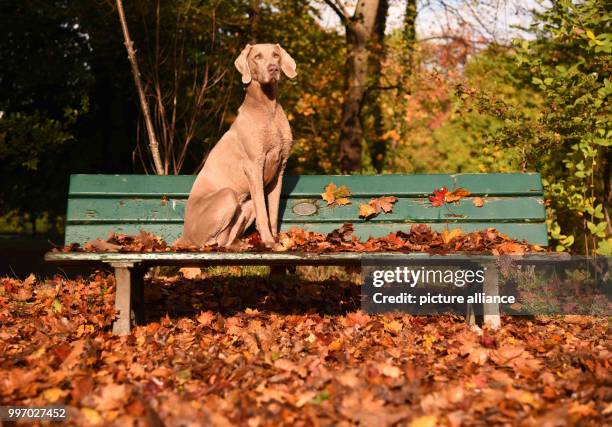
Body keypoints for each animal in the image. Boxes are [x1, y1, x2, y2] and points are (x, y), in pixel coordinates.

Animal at [180, 43, 298, 247]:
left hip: (245, 202)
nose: (273, 69)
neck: (268, 108)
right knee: (210, 242)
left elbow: (273, 211)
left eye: (276, 55)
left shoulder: (279, 169)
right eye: (257, 57)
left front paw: (276, 240)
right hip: (227, 195)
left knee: (224, 240)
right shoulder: (254, 166)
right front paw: (268, 241)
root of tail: (184, 235)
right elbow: (263, 211)